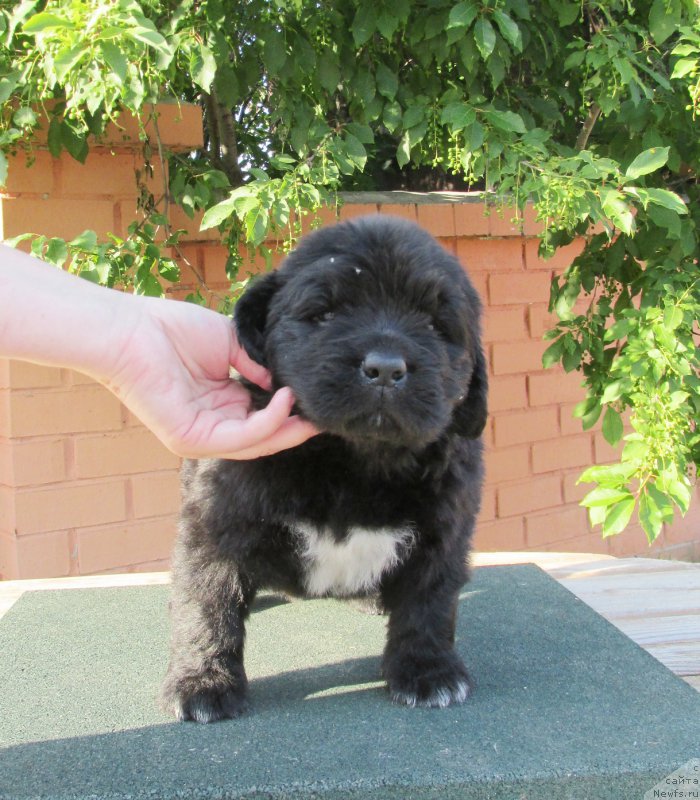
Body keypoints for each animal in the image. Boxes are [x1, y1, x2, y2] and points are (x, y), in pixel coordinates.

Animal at [162, 216, 486, 720]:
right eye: (326, 313)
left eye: (436, 325)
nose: (386, 369)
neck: (352, 460)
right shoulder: (215, 524)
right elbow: (207, 600)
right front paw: (201, 679)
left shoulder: (444, 532)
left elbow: (429, 602)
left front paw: (427, 669)